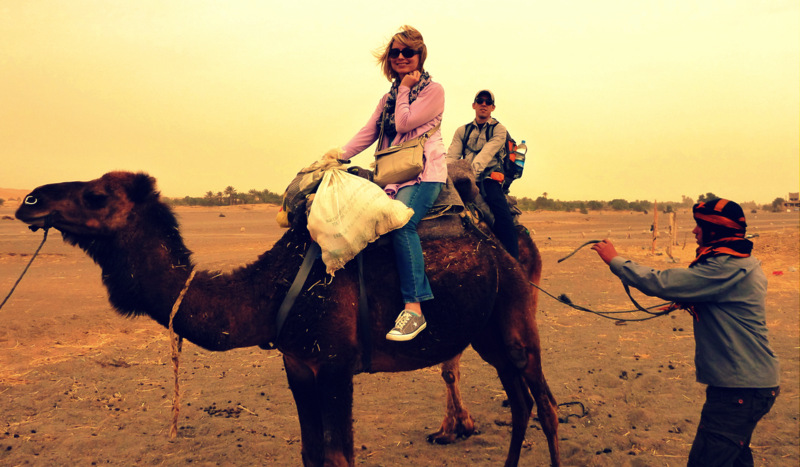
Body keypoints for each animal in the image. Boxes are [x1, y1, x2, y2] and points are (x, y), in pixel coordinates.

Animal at [15, 173, 560, 467]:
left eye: (97, 196)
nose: (30, 200)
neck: (270, 290)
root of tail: (499, 243)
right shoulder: (298, 365)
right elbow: (311, 454)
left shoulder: (337, 365)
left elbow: (340, 456)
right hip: (486, 332)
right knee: (520, 403)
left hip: (516, 315)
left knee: (545, 404)